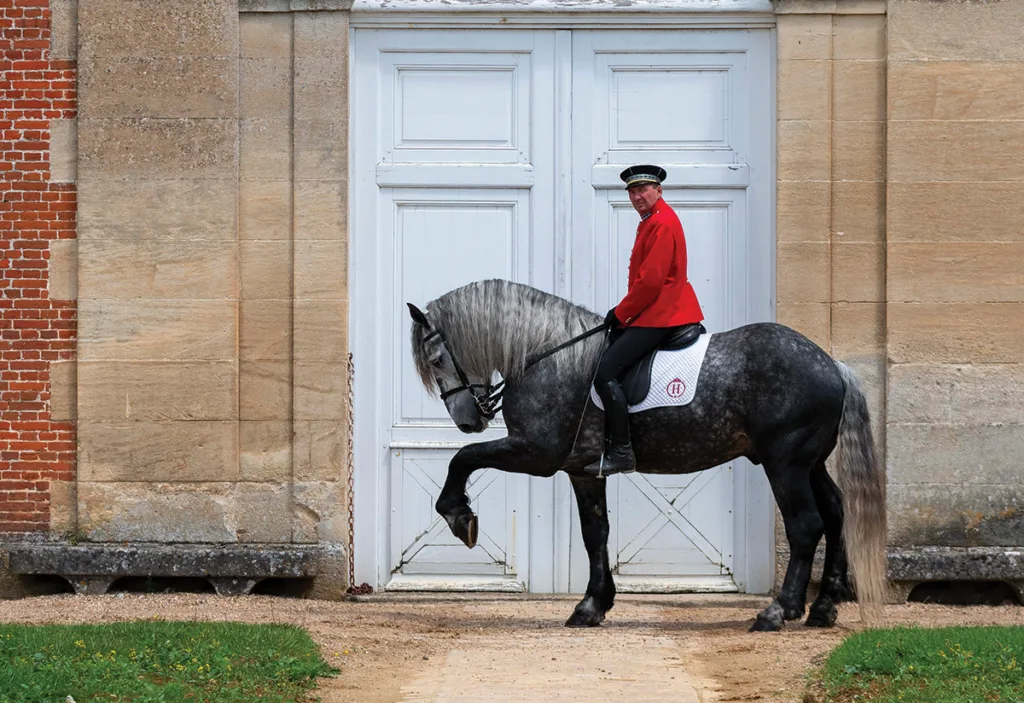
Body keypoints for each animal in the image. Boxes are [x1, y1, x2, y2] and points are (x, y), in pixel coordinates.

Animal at [406, 278, 887, 631]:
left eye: (436, 359)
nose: (469, 420)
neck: (547, 356)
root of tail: (832, 365)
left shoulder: (534, 453)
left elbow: (463, 458)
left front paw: (459, 516)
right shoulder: (582, 470)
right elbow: (595, 533)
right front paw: (592, 606)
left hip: (784, 463)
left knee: (806, 526)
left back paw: (777, 612)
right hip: (810, 463)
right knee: (836, 513)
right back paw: (823, 608)